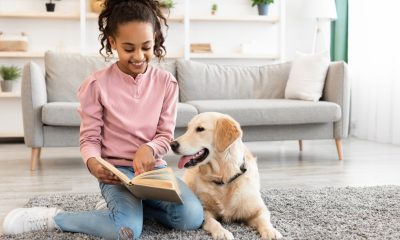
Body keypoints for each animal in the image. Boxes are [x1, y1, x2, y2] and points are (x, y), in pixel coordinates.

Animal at [170, 112, 282, 240]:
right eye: (187, 129)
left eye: (200, 129)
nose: (172, 144)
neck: (223, 177)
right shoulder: (205, 210)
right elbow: (214, 222)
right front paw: (222, 232)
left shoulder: (258, 209)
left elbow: (264, 220)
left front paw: (271, 231)